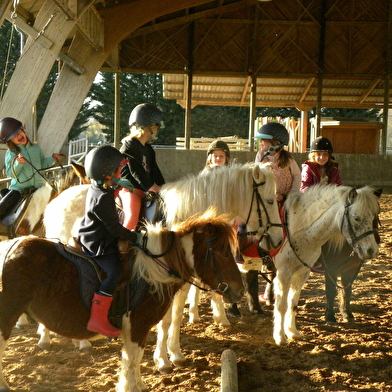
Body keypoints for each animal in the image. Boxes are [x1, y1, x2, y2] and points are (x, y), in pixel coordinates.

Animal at [0, 211, 245, 392]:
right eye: (223, 253)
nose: (240, 291)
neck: (154, 271)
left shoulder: (139, 329)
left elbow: (135, 358)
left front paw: (139, 384)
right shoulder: (136, 326)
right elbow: (132, 359)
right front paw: (131, 387)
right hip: (7, 316)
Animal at [41, 162, 284, 368]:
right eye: (270, 201)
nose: (278, 239)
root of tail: (58, 200)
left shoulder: (182, 281)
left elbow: (175, 317)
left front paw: (175, 353)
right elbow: (164, 320)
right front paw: (162, 359)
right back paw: (55, 339)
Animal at [272, 185, 380, 344]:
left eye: (375, 217)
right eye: (356, 218)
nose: (371, 250)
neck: (297, 230)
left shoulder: (302, 272)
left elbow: (293, 303)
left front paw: (292, 332)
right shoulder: (286, 272)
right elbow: (282, 305)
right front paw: (280, 338)